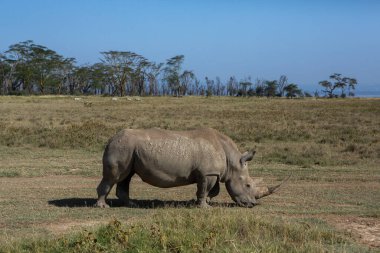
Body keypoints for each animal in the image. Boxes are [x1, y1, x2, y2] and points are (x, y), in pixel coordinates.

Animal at [95, 128, 288, 208]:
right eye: (247, 185)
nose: (252, 205)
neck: (232, 161)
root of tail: (111, 138)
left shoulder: (211, 172)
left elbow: (212, 190)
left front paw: (203, 202)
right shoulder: (208, 172)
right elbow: (205, 189)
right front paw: (204, 207)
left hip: (128, 149)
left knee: (125, 177)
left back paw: (130, 204)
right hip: (122, 147)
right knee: (114, 177)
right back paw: (103, 206)